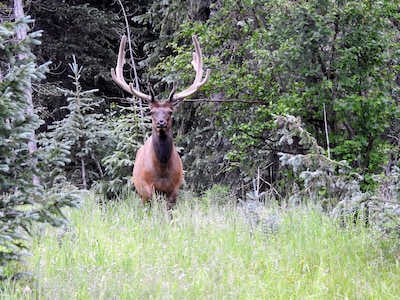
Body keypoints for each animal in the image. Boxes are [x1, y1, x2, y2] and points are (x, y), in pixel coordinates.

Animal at [109, 35, 209, 209]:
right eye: (151, 112)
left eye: (170, 111)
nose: (161, 123)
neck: (161, 170)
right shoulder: (148, 188)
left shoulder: (174, 188)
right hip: (141, 192)